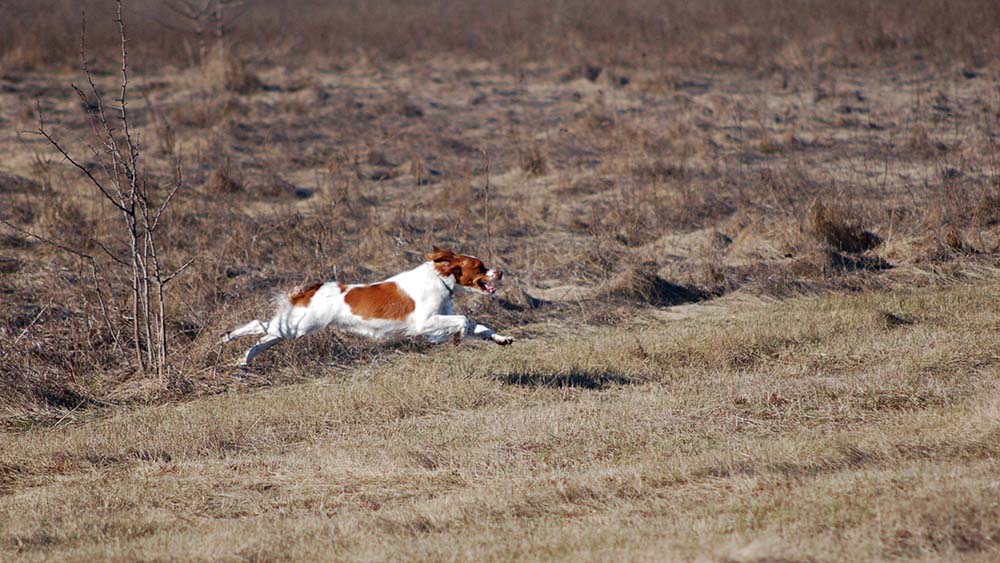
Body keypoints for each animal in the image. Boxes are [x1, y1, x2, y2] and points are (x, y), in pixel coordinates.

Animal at [222, 247, 512, 366]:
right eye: (480, 267)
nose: (500, 273)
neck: (440, 278)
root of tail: (314, 288)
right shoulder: (424, 322)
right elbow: (465, 321)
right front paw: (459, 337)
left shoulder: (440, 319)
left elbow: (479, 326)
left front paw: (502, 339)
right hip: (300, 326)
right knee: (259, 325)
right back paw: (227, 337)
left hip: (295, 328)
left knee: (265, 337)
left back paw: (244, 358)